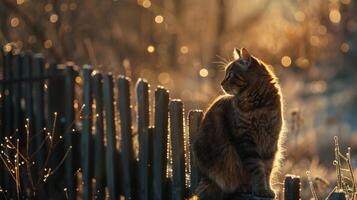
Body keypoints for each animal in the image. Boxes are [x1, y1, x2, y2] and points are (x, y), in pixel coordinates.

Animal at [193, 47, 282, 199]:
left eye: (230, 75)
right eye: (226, 74)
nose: (221, 83)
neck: (258, 106)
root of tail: (204, 180)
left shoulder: (271, 142)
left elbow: (268, 169)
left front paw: (267, 189)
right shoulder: (246, 141)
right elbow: (257, 169)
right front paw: (260, 190)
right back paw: (242, 188)